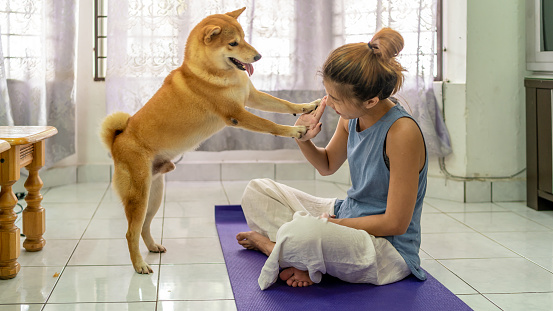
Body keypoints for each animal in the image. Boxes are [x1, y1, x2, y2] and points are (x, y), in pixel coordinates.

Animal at [97, 7, 316, 274]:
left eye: (244, 38)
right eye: (233, 43)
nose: (259, 56)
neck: (213, 73)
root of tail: (117, 141)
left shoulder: (252, 97)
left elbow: (283, 104)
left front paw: (307, 105)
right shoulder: (237, 114)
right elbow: (270, 125)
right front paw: (294, 131)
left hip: (154, 196)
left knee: (144, 227)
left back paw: (152, 247)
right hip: (139, 196)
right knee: (130, 232)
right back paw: (139, 265)